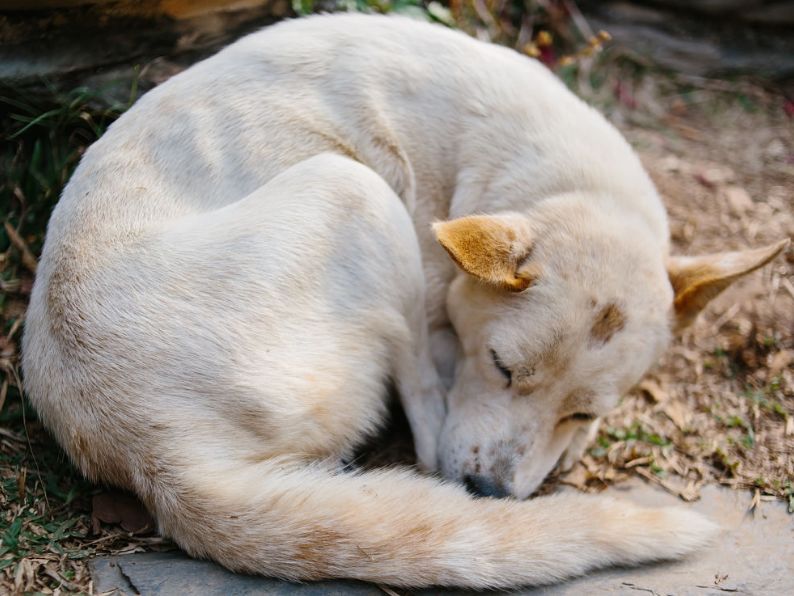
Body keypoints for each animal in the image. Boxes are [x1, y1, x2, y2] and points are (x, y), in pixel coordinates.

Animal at [20, 11, 784, 588]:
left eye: (583, 411)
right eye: (501, 367)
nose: (488, 495)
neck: (543, 176)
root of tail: (155, 450)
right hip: (355, 189)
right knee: (417, 399)